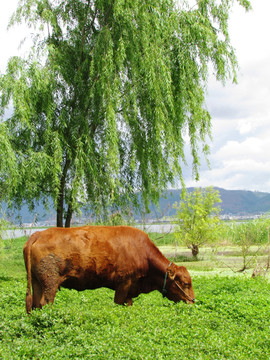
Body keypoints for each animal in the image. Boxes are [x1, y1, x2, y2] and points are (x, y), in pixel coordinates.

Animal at [23, 225, 195, 312]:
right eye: (186, 283)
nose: (193, 301)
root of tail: (39, 233)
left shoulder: (130, 289)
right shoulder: (123, 284)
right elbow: (118, 304)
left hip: (38, 282)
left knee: (36, 304)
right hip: (50, 283)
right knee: (46, 303)